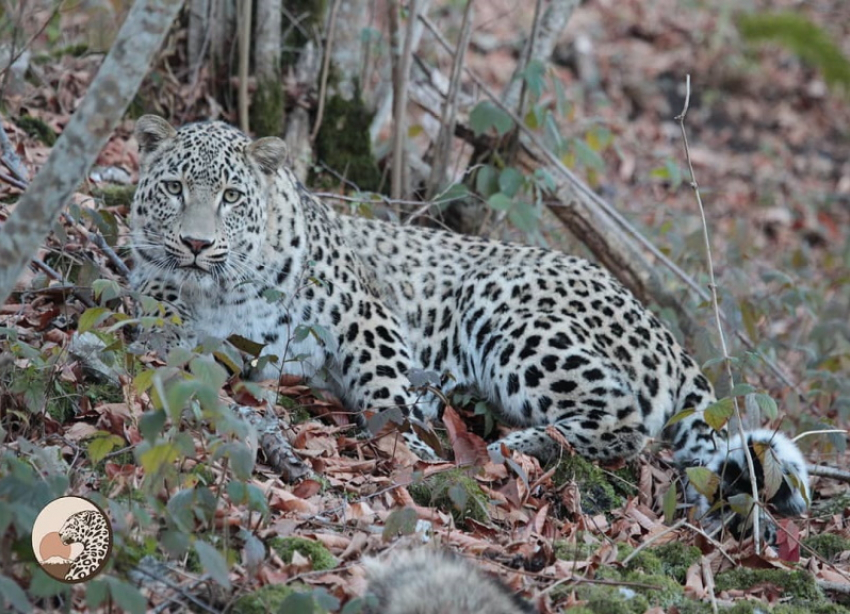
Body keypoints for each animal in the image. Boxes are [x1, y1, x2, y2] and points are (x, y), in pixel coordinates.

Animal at [131, 115, 808, 536]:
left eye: (231, 197)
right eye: (175, 187)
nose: (196, 243)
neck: (222, 288)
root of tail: (659, 325)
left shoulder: (366, 315)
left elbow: (383, 393)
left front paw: (409, 449)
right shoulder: (164, 304)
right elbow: (164, 330)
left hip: (501, 306)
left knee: (627, 424)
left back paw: (516, 448)